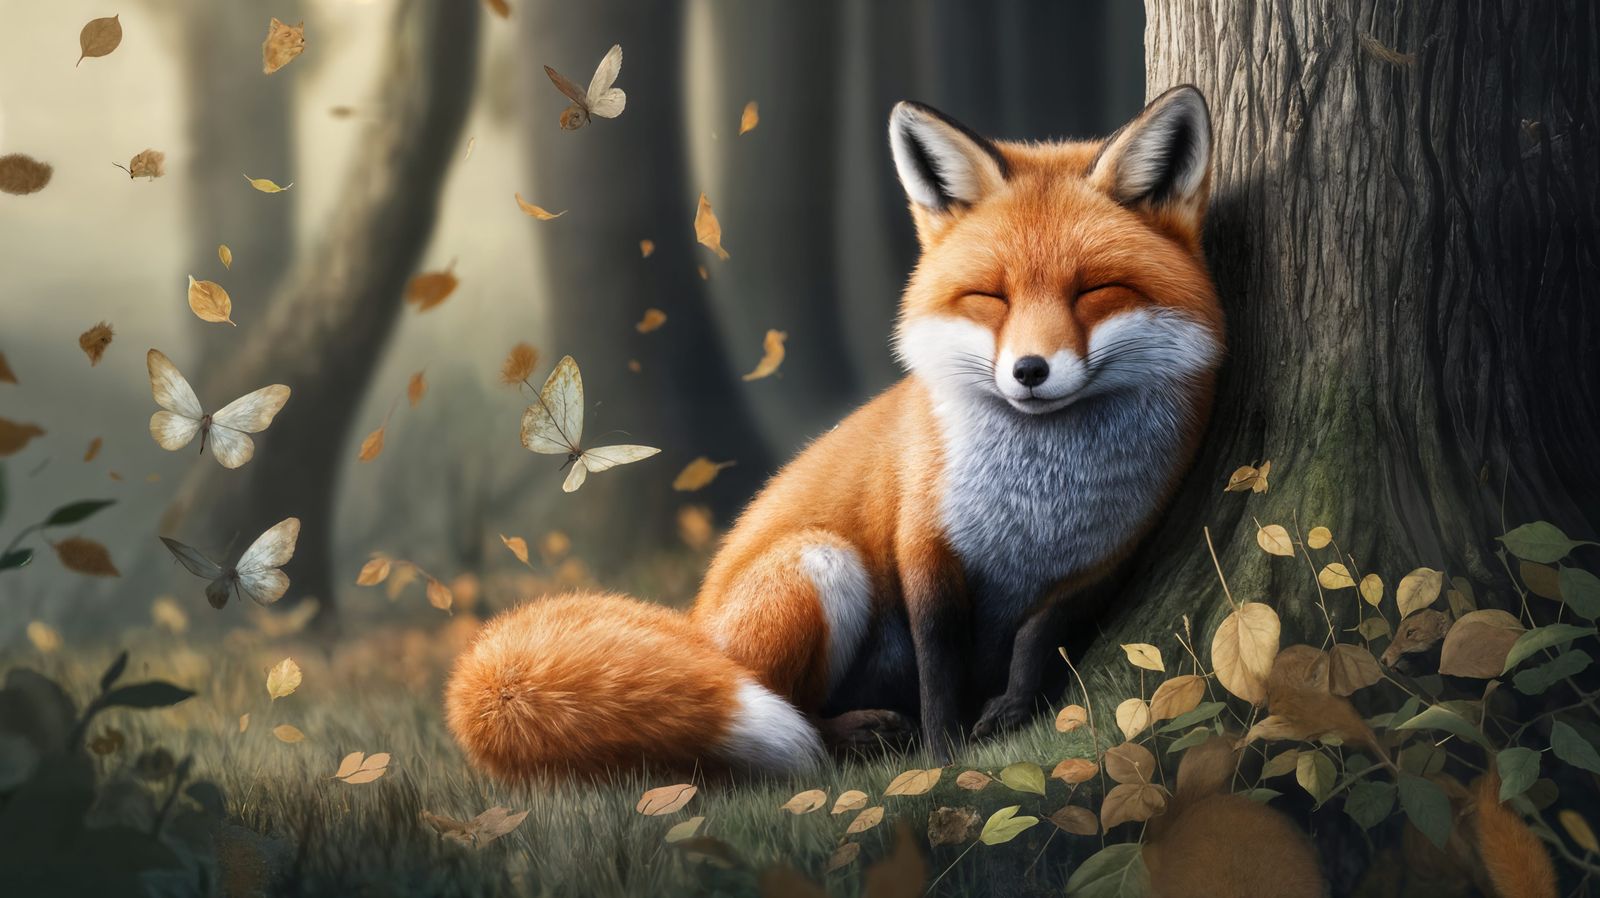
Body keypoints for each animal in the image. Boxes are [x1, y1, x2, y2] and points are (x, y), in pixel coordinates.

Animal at [446, 85, 1224, 781]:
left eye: (1094, 291)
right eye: (989, 297)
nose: (1029, 371)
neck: (1044, 499)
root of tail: (695, 625)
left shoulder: (1113, 552)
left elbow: (1039, 635)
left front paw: (1012, 709)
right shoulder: (922, 542)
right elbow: (939, 666)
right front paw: (945, 759)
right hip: (822, 562)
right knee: (784, 713)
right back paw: (853, 737)